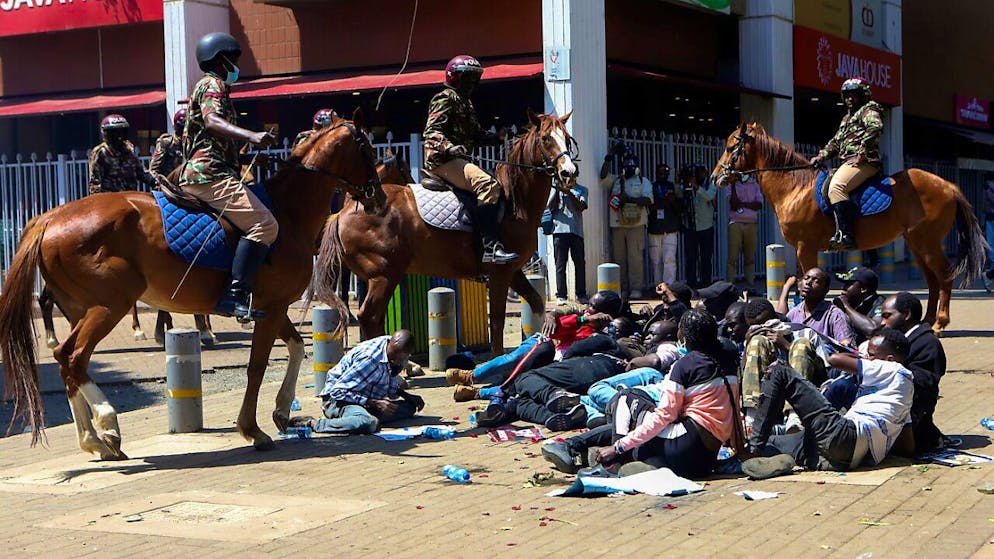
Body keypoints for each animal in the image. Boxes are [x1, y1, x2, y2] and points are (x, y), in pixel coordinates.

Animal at [0, 111, 384, 458]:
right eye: (366, 146)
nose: (377, 197)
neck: (287, 211)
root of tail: (50, 217)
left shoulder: (271, 308)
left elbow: (296, 348)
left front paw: (280, 411)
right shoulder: (270, 308)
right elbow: (257, 367)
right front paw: (252, 429)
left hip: (83, 309)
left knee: (66, 360)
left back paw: (94, 439)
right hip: (110, 306)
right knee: (74, 358)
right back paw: (107, 426)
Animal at [314, 111, 576, 352]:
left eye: (566, 138)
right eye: (545, 139)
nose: (569, 173)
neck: (514, 202)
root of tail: (341, 213)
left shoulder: (513, 271)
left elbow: (536, 303)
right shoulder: (500, 274)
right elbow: (497, 323)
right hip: (384, 276)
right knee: (369, 317)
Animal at [712, 123, 984, 332]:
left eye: (730, 147)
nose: (716, 177)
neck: (795, 187)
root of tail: (949, 186)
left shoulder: (805, 247)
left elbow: (808, 277)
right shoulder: (804, 248)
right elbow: (802, 280)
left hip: (927, 242)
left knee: (944, 275)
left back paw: (939, 323)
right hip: (916, 243)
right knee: (932, 279)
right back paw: (926, 320)